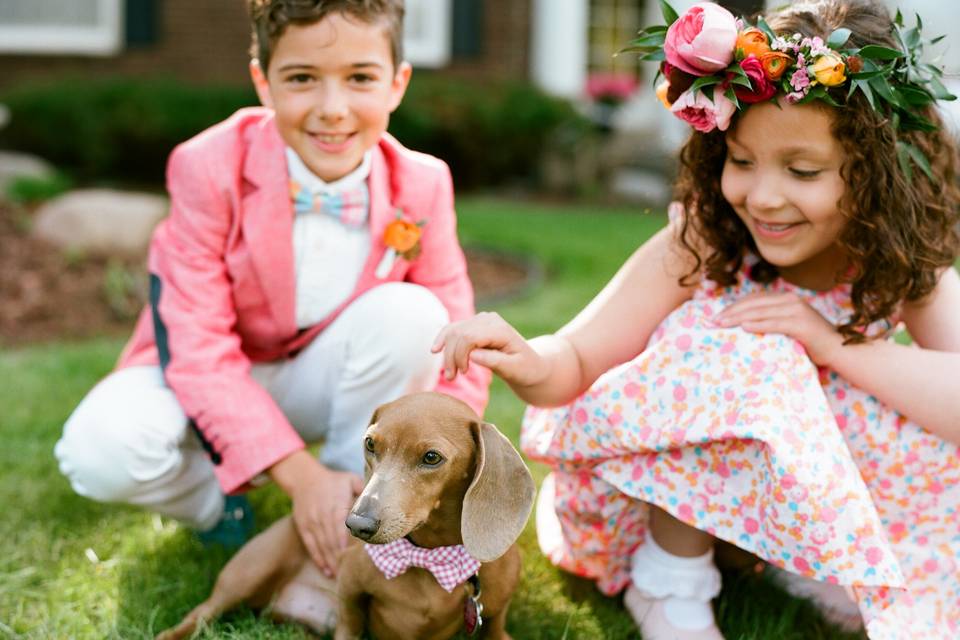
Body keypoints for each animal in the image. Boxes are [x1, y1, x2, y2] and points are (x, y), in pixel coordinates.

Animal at [156, 392, 532, 640]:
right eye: (370, 444)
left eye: (431, 457)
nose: (356, 524)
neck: (428, 558)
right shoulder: (349, 596)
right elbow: (350, 621)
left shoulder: (496, 623)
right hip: (247, 574)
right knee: (200, 615)